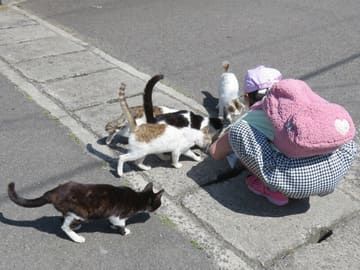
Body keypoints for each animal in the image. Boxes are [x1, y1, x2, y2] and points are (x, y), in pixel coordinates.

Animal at [7, 181, 163, 243]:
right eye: (159, 203)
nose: (158, 207)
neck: (138, 197)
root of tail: (53, 192)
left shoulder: (112, 215)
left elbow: (112, 222)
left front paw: (113, 227)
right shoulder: (118, 216)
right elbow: (121, 224)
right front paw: (124, 231)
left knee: (63, 219)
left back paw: (75, 227)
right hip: (81, 212)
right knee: (64, 226)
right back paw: (77, 237)